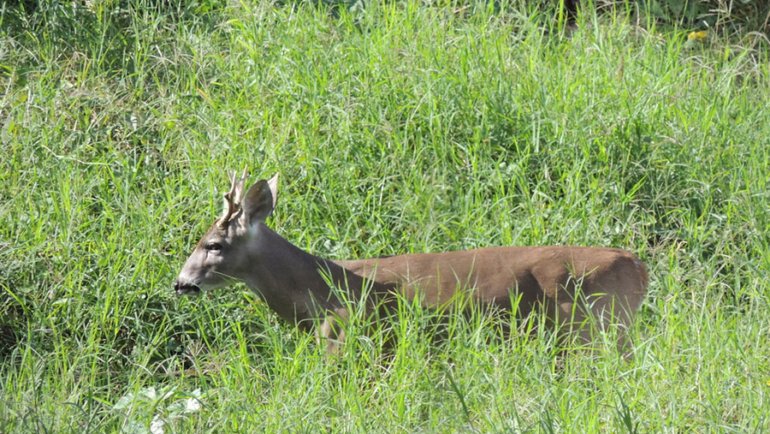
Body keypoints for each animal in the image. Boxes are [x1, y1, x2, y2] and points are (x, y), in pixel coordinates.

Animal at [174, 171, 648, 358]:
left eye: (213, 244)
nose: (180, 283)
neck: (317, 289)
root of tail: (640, 267)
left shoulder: (349, 336)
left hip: (593, 327)